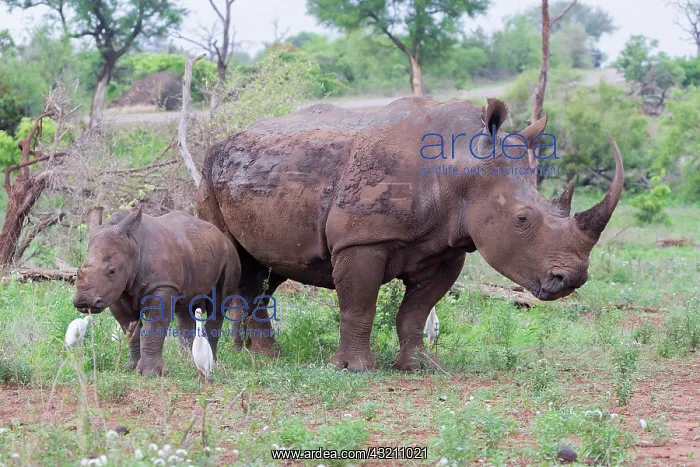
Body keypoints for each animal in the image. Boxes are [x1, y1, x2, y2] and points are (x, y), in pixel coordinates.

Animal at [72, 208, 241, 376]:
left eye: (112, 271)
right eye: (80, 268)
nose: (84, 301)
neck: (133, 245)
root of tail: (220, 235)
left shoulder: (162, 287)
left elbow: (152, 328)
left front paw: (150, 373)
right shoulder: (116, 292)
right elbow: (131, 331)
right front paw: (131, 367)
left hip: (230, 256)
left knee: (217, 307)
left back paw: (211, 363)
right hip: (195, 251)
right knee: (186, 308)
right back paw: (186, 362)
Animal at [197, 97, 623, 371]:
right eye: (521, 219)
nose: (572, 279)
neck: (458, 169)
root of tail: (225, 140)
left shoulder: (448, 247)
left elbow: (416, 310)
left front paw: (419, 366)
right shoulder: (361, 239)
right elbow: (359, 306)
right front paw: (354, 368)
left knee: (266, 270)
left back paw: (255, 352)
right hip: (209, 173)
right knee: (236, 259)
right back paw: (259, 356)